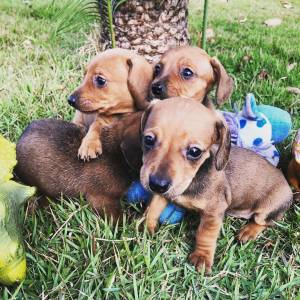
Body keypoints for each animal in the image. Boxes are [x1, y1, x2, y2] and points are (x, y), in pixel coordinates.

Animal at [141, 99, 292, 274]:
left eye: (195, 151)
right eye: (148, 139)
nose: (157, 184)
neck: (193, 179)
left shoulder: (214, 211)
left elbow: (205, 234)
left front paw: (202, 257)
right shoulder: (164, 193)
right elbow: (153, 208)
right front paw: (146, 227)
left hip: (268, 209)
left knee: (264, 222)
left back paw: (248, 232)